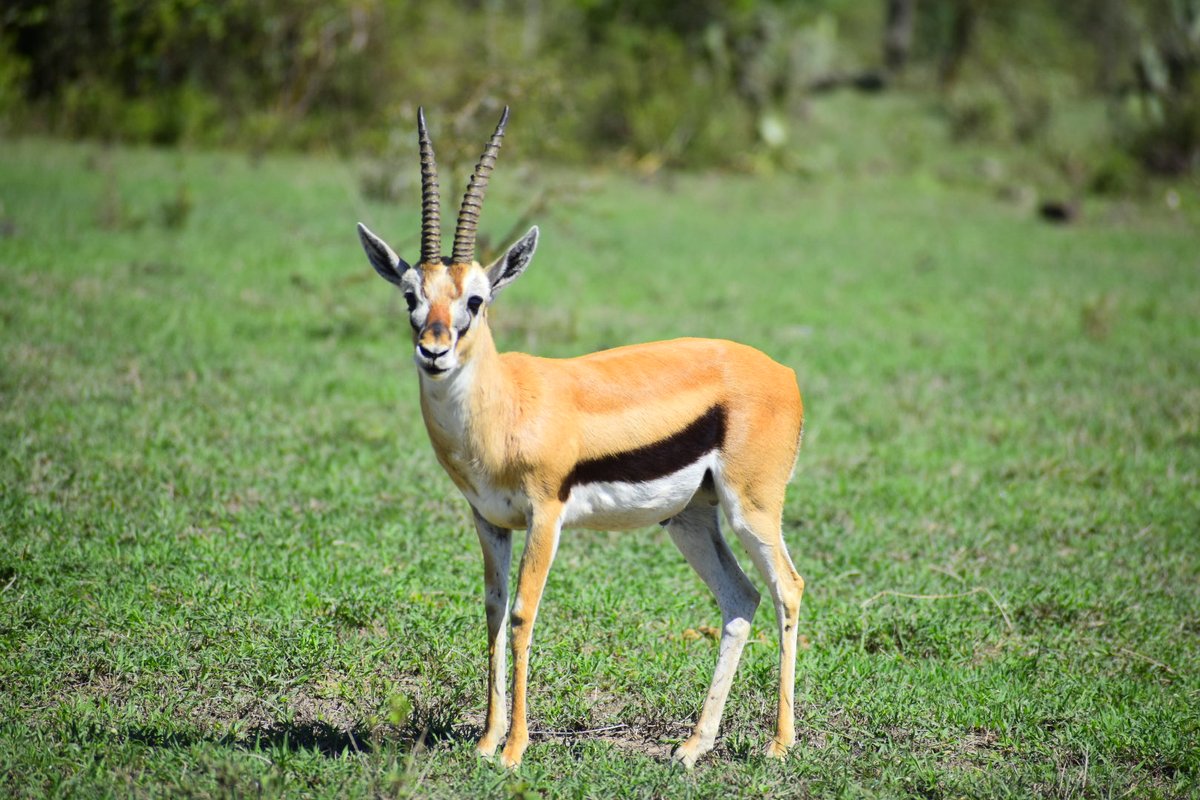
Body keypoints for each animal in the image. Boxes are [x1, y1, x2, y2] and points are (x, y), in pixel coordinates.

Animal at [356, 107, 806, 769]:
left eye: (476, 299)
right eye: (411, 296)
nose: (434, 350)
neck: (505, 407)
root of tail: (783, 373)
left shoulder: (546, 515)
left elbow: (523, 614)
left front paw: (513, 749)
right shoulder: (488, 520)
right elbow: (493, 612)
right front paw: (486, 740)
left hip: (751, 510)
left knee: (788, 589)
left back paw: (779, 743)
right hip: (690, 519)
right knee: (740, 599)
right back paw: (692, 747)